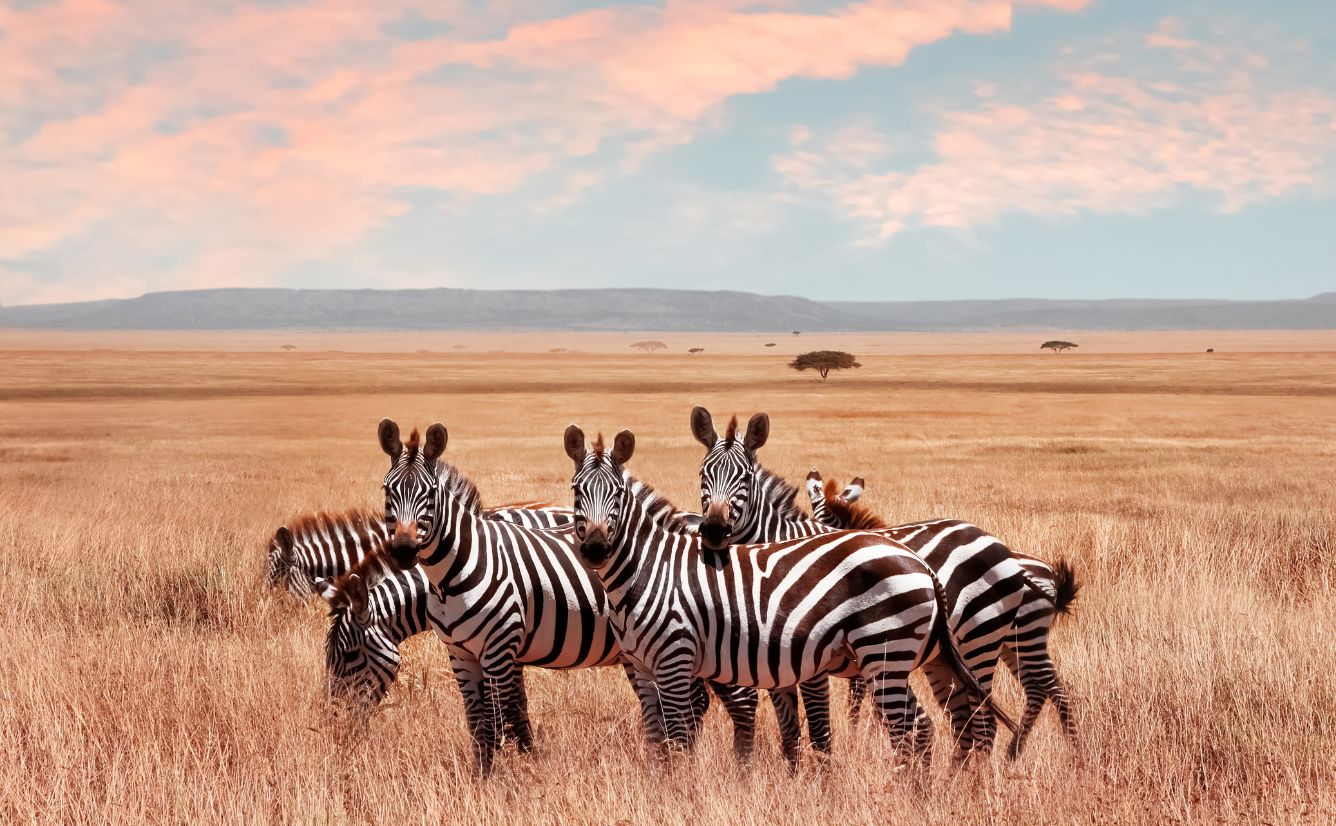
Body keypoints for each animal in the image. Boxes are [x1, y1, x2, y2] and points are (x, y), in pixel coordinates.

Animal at [370, 418, 755, 775]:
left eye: (429, 493)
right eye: (387, 489)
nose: (402, 551)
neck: (456, 571)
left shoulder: (501, 647)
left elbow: (500, 716)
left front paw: (507, 775)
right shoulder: (461, 654)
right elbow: (480, 721)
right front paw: (485, 775)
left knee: (735, 699)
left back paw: (737, 769)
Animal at [563, 424, 1016, 768]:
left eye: (617, 495)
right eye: (576, 491)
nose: (595, 550)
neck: (650, 567)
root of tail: (922, 565)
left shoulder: (679, 659)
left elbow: (683, 738)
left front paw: (684, 793)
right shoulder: (646, 665)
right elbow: (662, 737)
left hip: (906, 650)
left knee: (931, 726)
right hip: (929, 657)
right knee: (950, 722)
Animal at [690, 405, 1037, 758]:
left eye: (745, 478)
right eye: (703, 475)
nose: (714, 530)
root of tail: (995, 543)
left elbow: (821, 725)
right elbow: (791, 728)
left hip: (978, 639)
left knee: (984, 721)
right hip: (945, 654)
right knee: (962, 718)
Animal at [805, 471, 1080, 758]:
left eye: (827, 522)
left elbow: (859, 697)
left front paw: (860, 735)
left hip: (1019, 636)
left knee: (1049, 687)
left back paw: (1072, 752)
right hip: (1012, 641)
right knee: (1039, 686)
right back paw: (1017, 752)